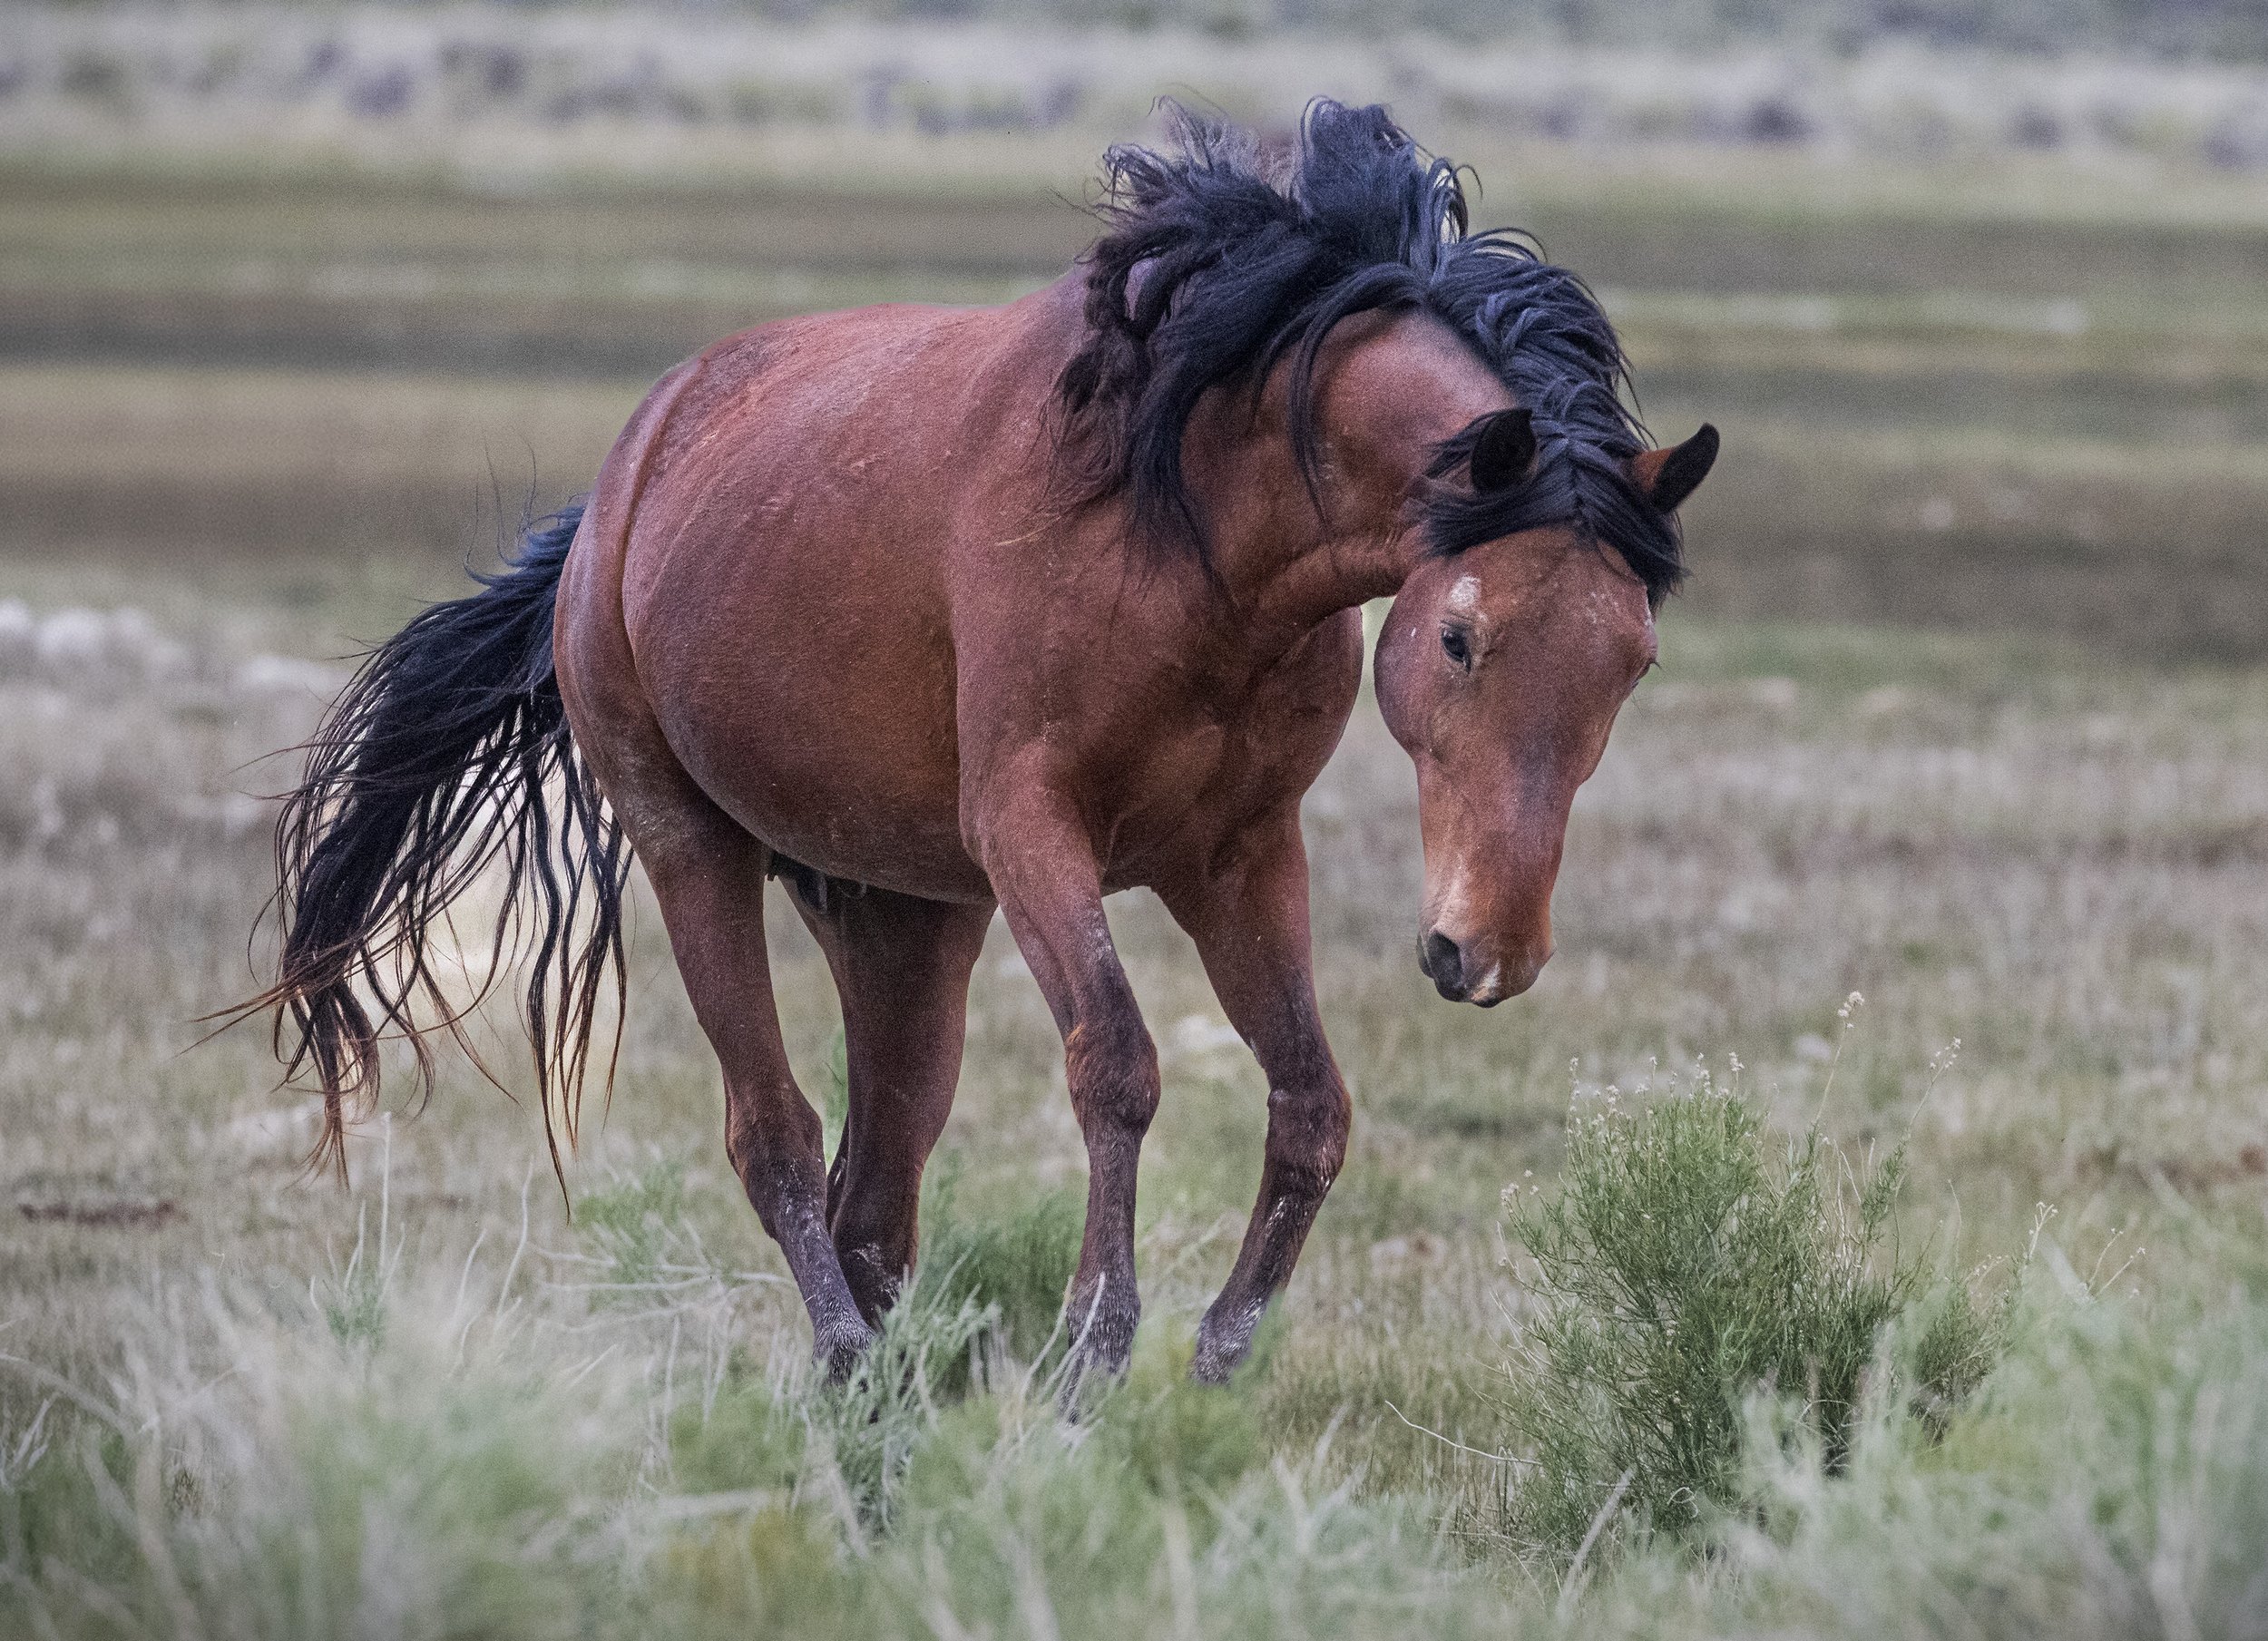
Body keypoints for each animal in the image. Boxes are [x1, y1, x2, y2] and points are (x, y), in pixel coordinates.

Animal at [247, 101, 1717, 1384]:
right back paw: (851, 1368)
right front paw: (1090, 1350)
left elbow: (1311, 1107)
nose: (1490, 951)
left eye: (1636, 659)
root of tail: (628, 474)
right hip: (691, 850)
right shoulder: (1031, 829)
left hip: (902, 921)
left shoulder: (1235, 855)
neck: (1188, 519)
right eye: (1460, 636)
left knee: (874, 1197)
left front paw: (1219, 1353)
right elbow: (1116, 1067)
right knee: (777, 1140)